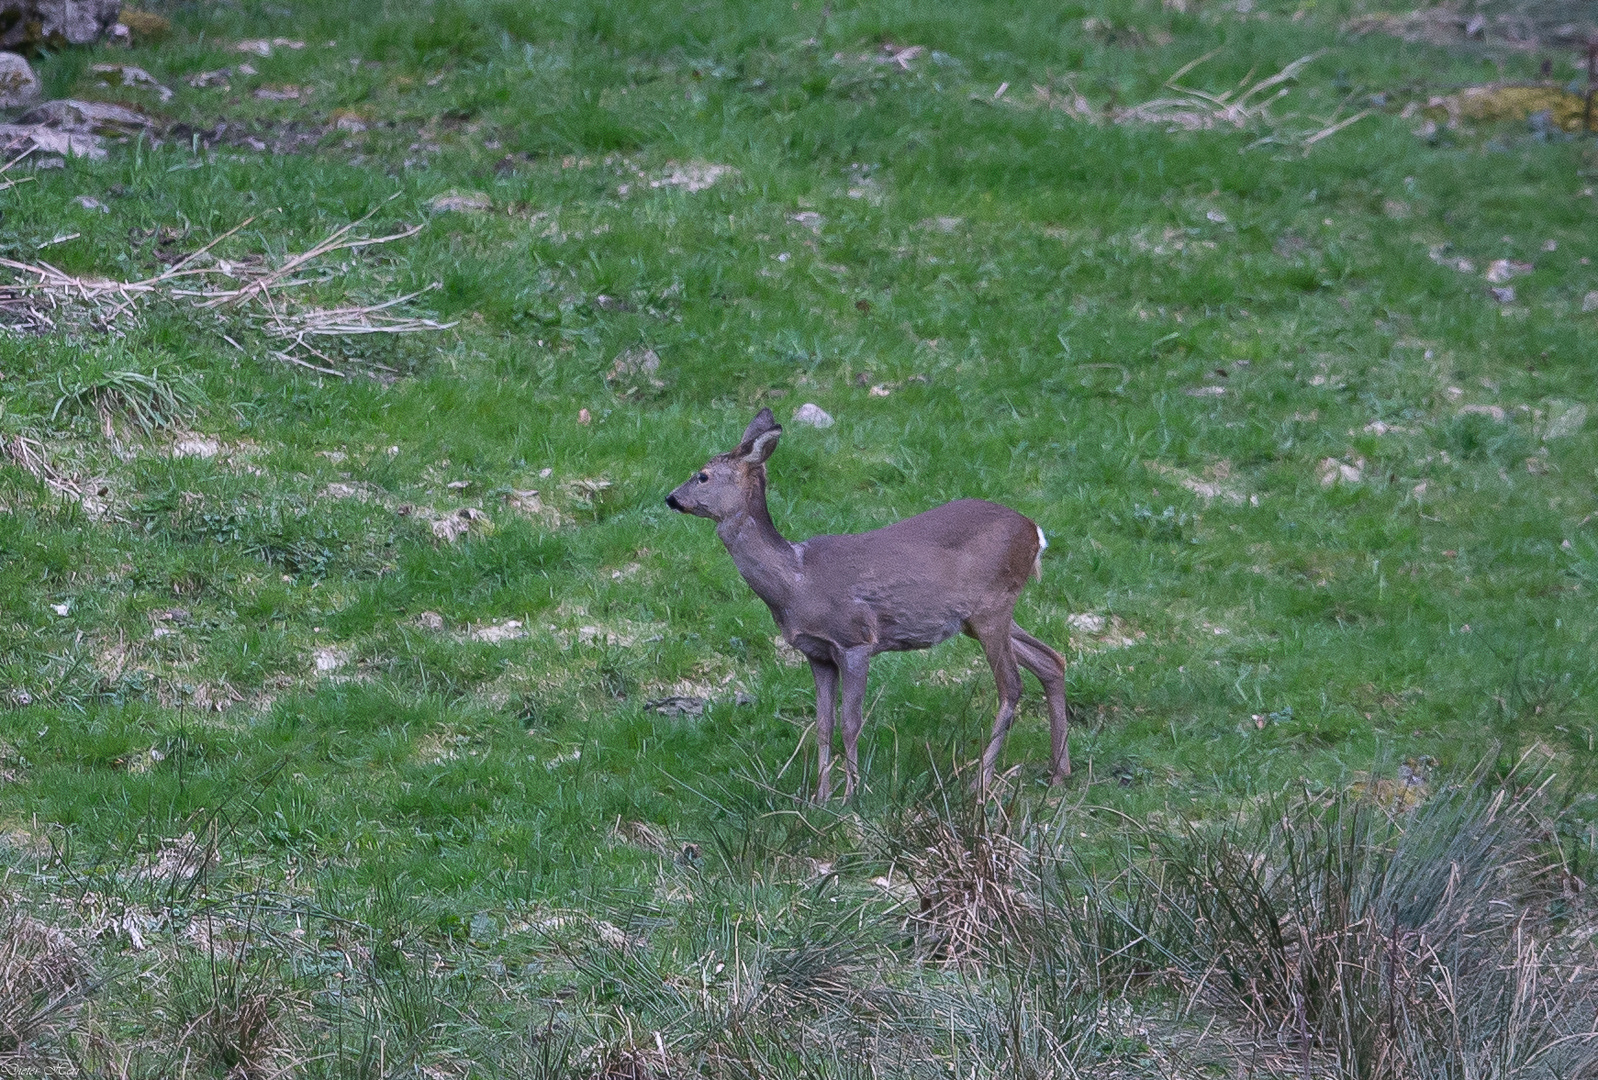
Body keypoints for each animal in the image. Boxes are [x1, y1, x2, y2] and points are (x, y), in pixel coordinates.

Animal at [664, 408, 1073, 798]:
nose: (671, 498)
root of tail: (1035, 532)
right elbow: (823, 725)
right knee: (1051, 659)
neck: (797, 581)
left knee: (1012, 685)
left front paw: (852, 798)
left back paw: (981, 783)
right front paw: (819, 797)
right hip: (979, 617)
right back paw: (1058, 774)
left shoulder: (854, 640)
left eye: (702, 475)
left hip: (992, 606)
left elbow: (850, 724)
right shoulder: (817, 653)